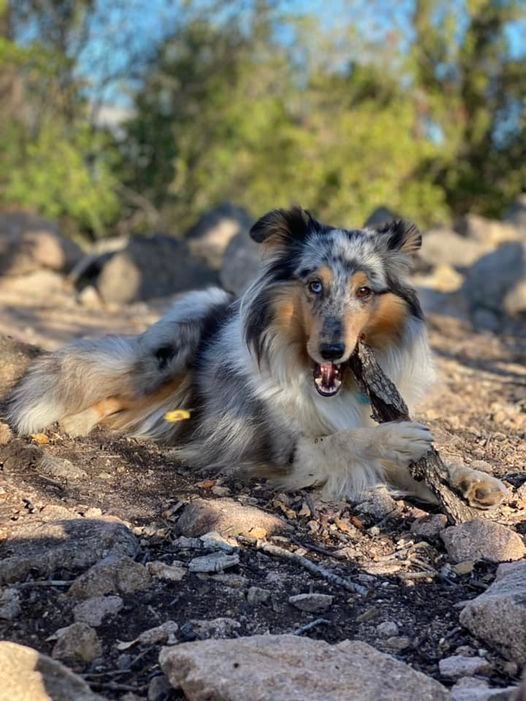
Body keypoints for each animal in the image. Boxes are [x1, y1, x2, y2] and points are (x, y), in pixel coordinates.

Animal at [10, 208, 510, 508]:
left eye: (365, 291)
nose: (333, 350)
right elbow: (344, 440)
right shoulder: (292, 453)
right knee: (111, 393)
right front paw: (397, 439)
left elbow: (436, 462)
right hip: (167, 362)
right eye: (314, 285)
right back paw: (77, 420)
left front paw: (475, 479)